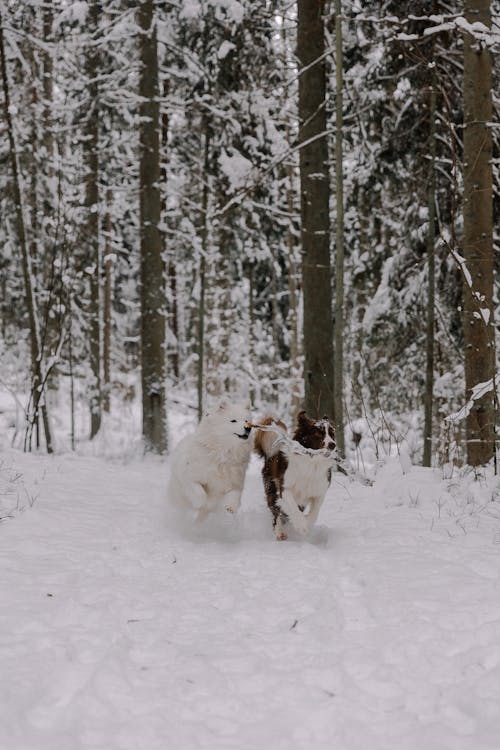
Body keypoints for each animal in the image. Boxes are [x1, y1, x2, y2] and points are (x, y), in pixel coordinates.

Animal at [254, 412, 336, 540]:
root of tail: (271, 455)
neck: (313, 462)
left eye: (332, 434)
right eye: (318, 433)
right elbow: (292, 507)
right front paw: (301, 526)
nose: (333, 445)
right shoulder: (284, 488)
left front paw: (307, 524)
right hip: (271, 489)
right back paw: (279, 532)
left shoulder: (319, 491)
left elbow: (315, 512)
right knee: (276, 511)